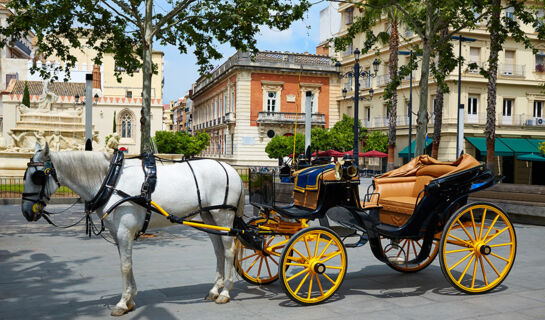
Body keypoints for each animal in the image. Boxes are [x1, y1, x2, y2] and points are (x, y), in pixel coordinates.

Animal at [21, 144, 242, 316]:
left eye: (37, 177)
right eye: (25, 176)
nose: (26, 211)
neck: (110, 181)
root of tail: (231, 169)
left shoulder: (124, 231)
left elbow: (124, 266)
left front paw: (122, 302)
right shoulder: (118, 233)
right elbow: (127, 262)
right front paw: (130, 300)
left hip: (223, 216)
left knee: (229, 251)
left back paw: (225, 292)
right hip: (209, 217)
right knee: (219, 251)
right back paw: (214, 289)